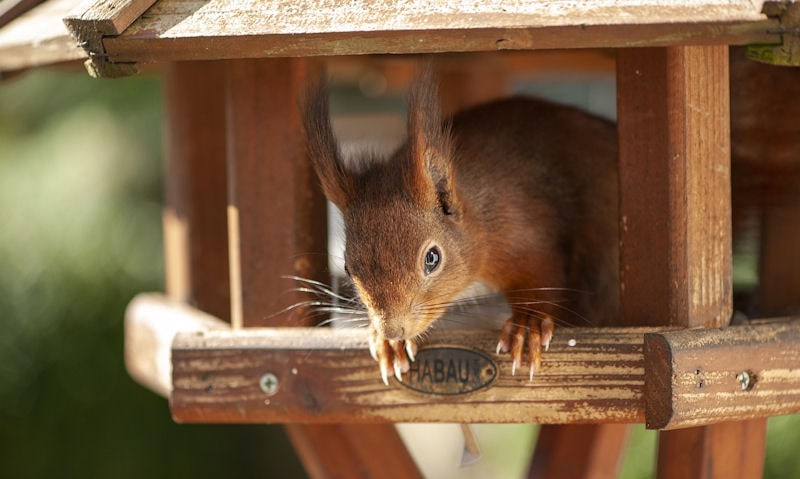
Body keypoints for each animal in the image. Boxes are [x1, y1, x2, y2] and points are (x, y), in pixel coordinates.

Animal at [300, 67, 620, 384]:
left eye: (432, 258)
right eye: (347, 268)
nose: (393, 330)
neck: (480, 217)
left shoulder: (526, 232)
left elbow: (543, 276)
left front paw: (527, 324)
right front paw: (387, 344)